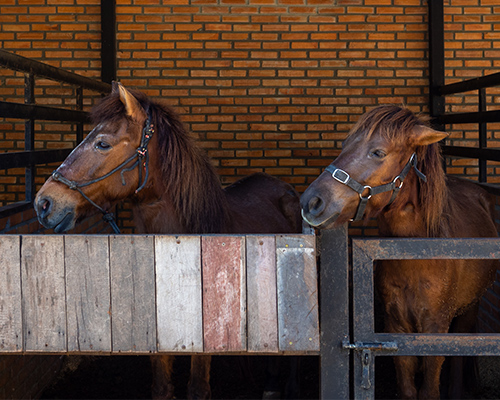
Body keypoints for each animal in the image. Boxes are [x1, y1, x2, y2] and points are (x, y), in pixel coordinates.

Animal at [298, 104, 498, 398]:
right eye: (345, 145)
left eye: (378, 152)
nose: (311, 201)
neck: (416, 259)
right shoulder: (395, 329)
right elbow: (407, 389)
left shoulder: (435, 331)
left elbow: (430, 389)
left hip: (469, 309)